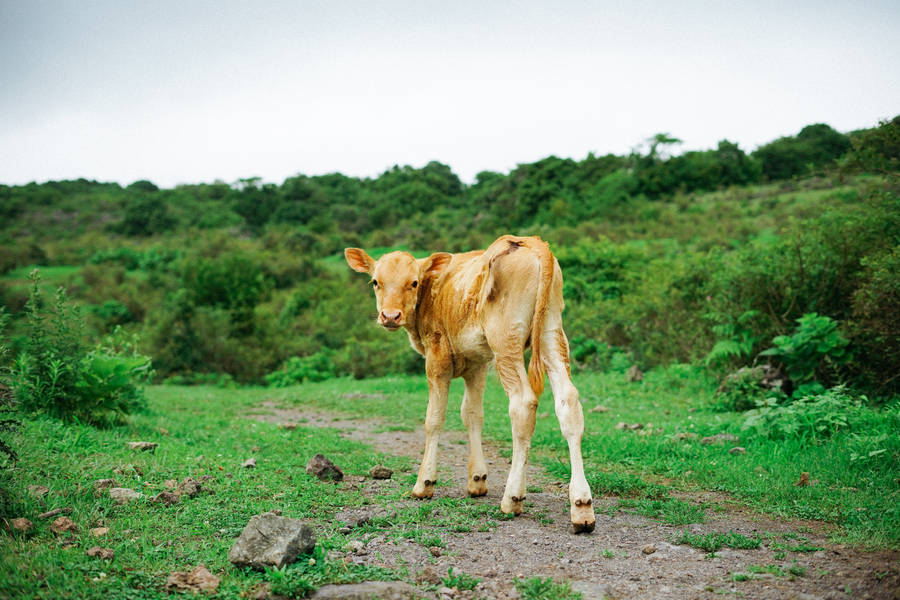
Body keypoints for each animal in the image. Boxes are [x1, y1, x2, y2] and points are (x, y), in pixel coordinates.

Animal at [344, 235, 595, 533]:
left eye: (413, 282)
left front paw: (424, 483)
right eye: (375, 282)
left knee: (523, 403)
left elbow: (434, 418)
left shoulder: (437, 356)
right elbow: (472, 414)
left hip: (506, 339)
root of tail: (532, 243)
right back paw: (582, 506)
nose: (390, 315)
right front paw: (477, 480)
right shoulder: (476, 363)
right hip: (551, 332)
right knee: (568, 402)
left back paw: (513, 498)